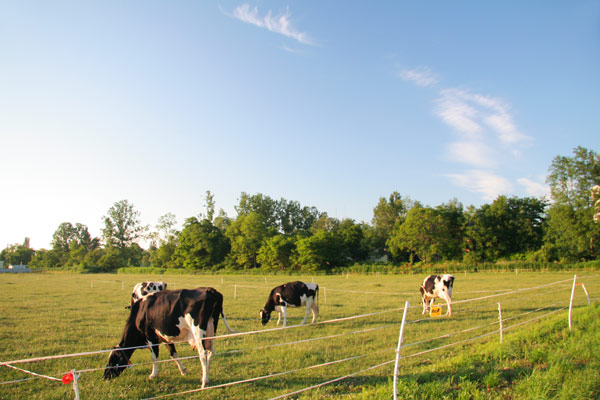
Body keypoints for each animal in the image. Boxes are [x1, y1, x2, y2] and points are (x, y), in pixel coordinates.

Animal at [103, 288, 234, 388]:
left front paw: (153, 374)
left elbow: (154, 357)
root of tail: (209, 290)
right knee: (210, 352)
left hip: (198, 331)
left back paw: (204, 382)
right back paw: (205, 378)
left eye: (112, 360)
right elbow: (173, 354)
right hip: (211, 330)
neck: (139, 313)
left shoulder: (150, 337)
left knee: (203, 354)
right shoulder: (164, 337)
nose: (104, 376)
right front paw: (183, 370)